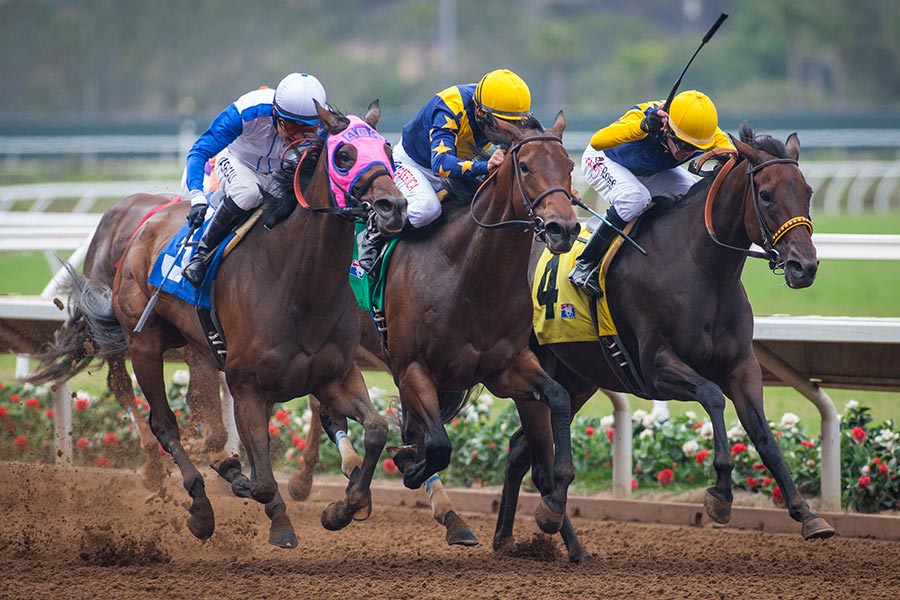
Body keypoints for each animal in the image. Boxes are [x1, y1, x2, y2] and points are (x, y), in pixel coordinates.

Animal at [27, 195, 229, 486]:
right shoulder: (198, 347)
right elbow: (205, 409)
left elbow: (202, 403)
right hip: (112, 329)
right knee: (119, 383)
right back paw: (152, 462)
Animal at [68, 101, 406, 548]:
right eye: (344, 155)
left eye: (387, 148)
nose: (394, 207)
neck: (299, 284)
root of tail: (145, 224)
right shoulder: (247, 385)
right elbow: (260, 479)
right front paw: (258, 499)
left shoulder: (335, 375)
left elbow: (376, 430)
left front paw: (342, 508)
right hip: (144, 344)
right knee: (163, 423)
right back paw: (199, 508)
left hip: (193, 343)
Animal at [492, 123, 836, 564]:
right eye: (766, 194)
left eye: (807, 191)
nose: (804, 266)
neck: (700, 269)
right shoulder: (656, 368)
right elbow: (712, 396)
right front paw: (721, 494)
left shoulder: (742, 366)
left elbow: (764, 436)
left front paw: (807, 514)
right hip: (533, 370)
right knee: (538, 460)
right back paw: (551, 524)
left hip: (578, 377)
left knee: (520, 448)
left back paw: (515, 538)